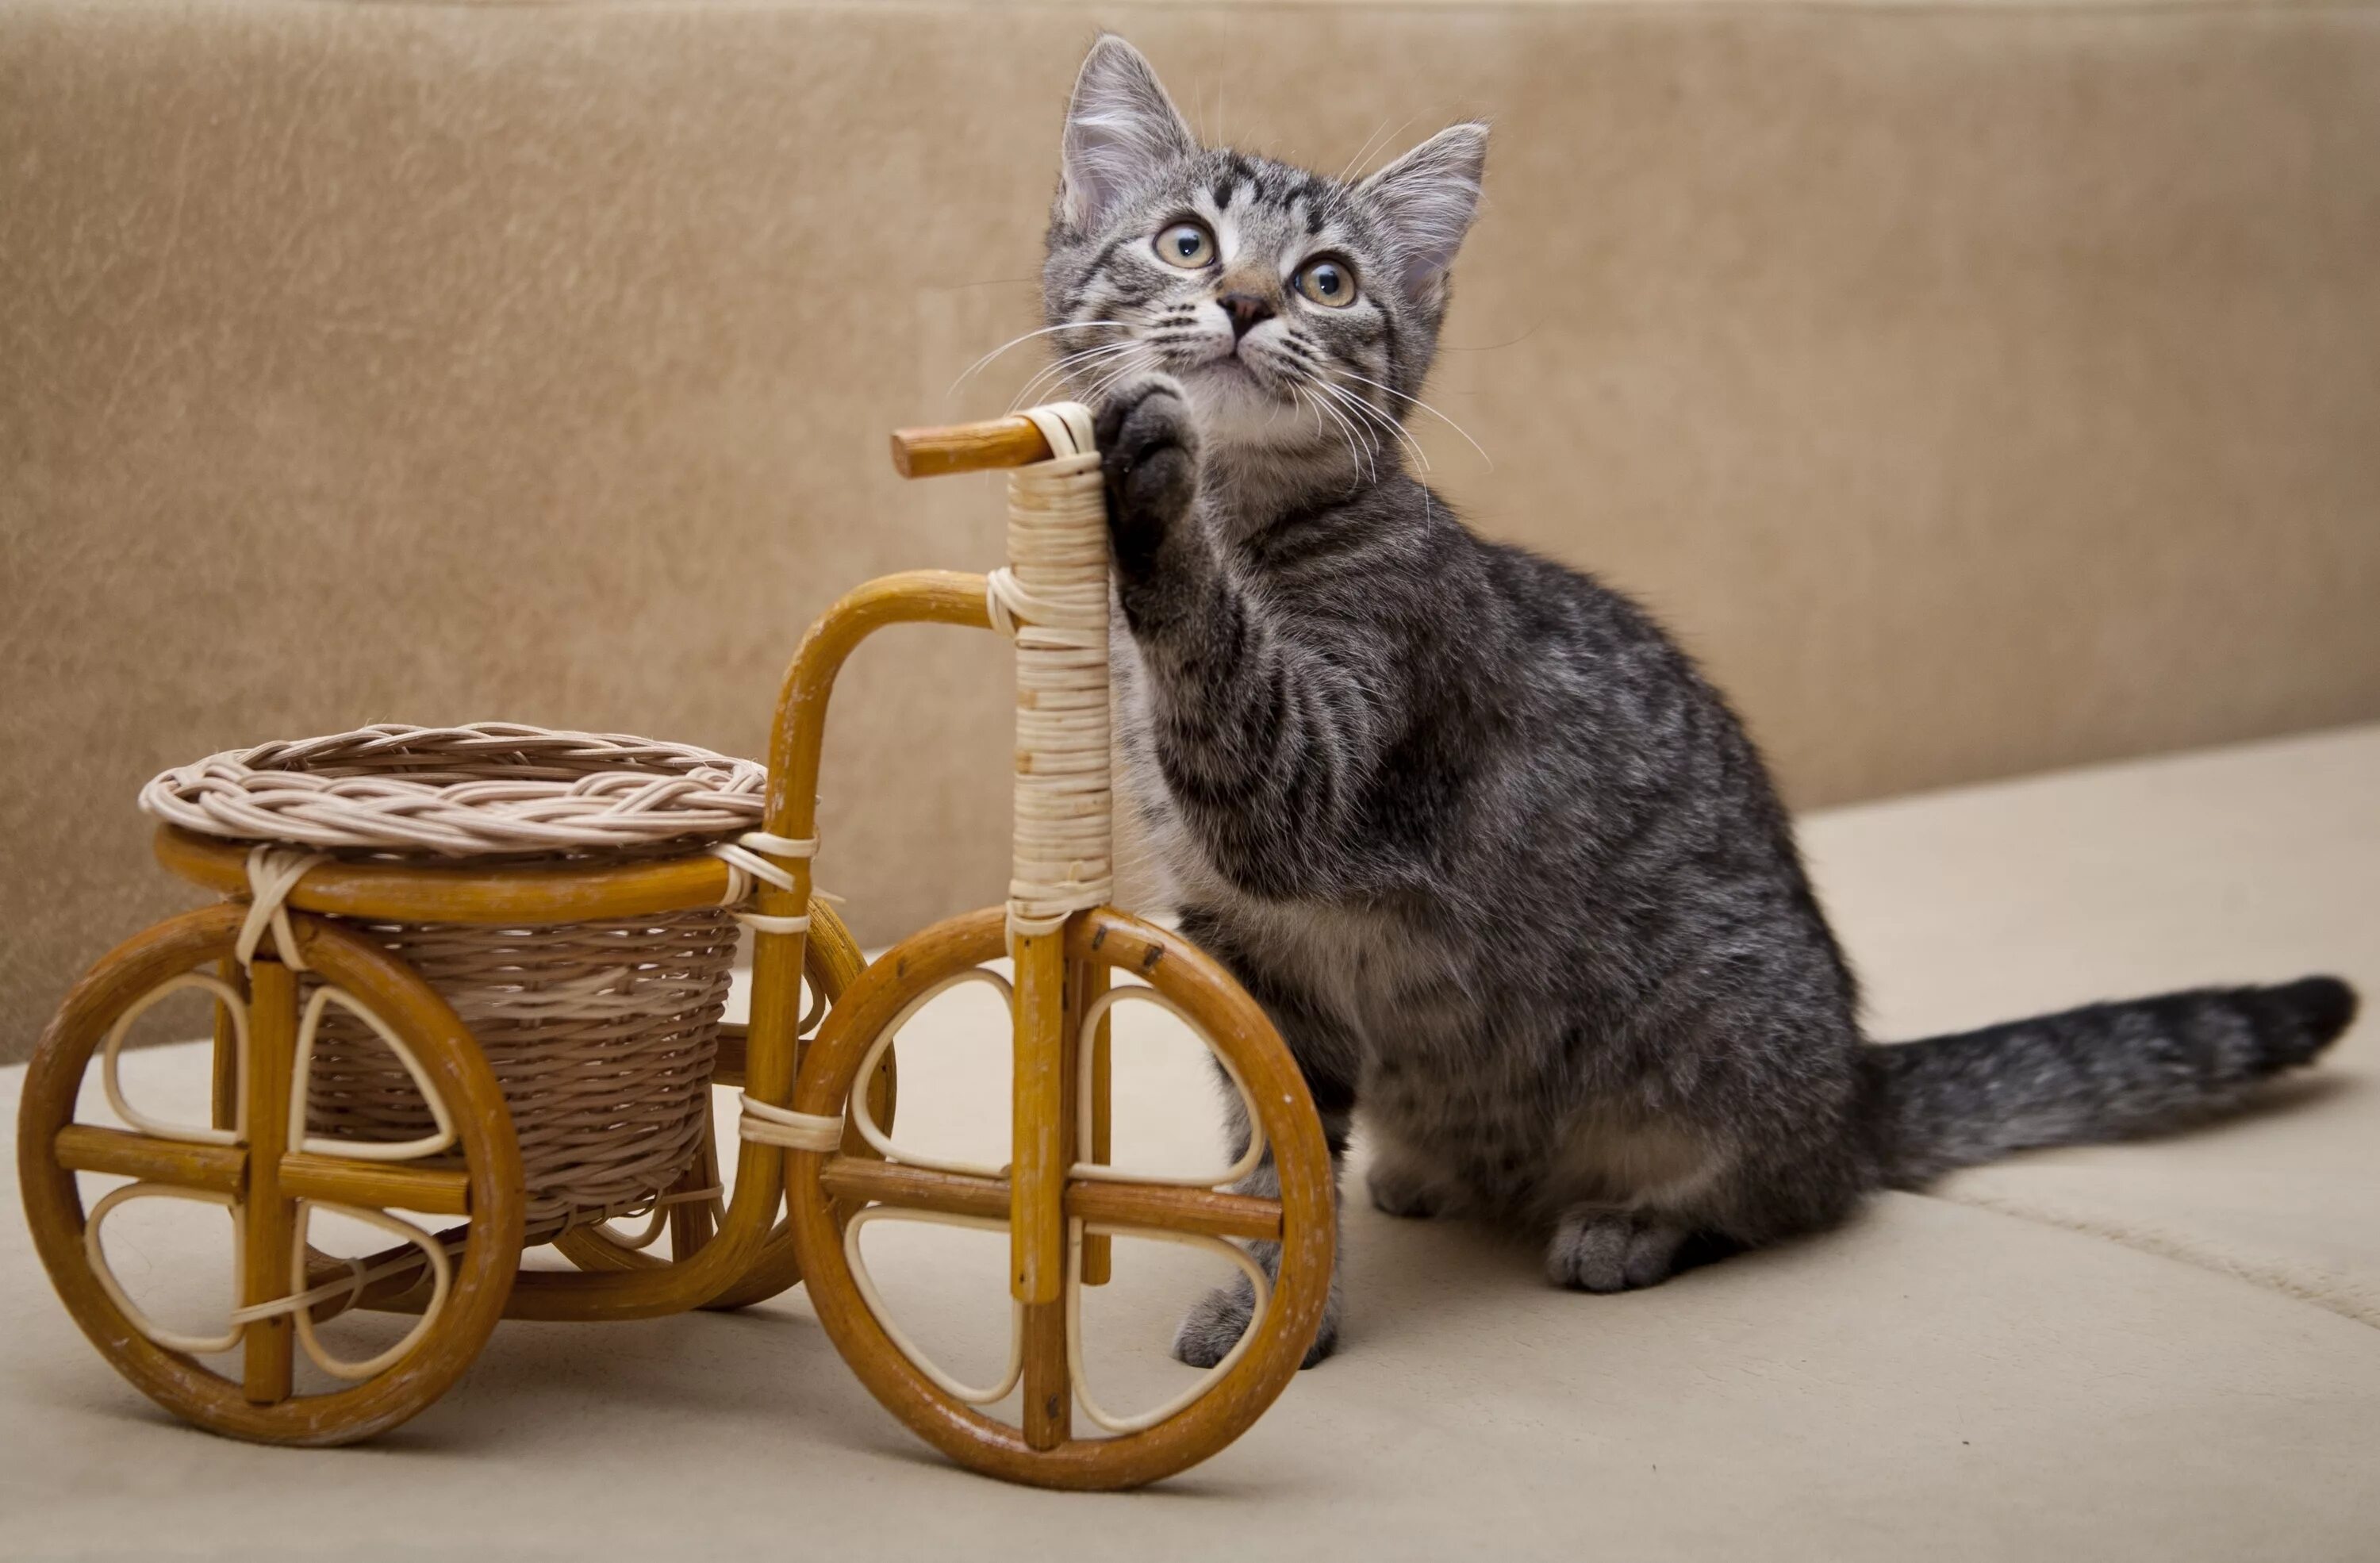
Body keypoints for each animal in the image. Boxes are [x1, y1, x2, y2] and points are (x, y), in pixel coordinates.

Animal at [1033, 30, 2351, 1361]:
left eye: (1328, 280)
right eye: (1187, 241)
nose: (1250, 301)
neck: (1261, 525)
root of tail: (1858, 1083)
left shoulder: (1341, 752)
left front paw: (1155, 488)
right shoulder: (1245, 950)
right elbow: (1274, 1139)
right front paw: (1263, 1290)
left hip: (1715, 1050)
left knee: (1797, 1194)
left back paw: (1637, 1225)